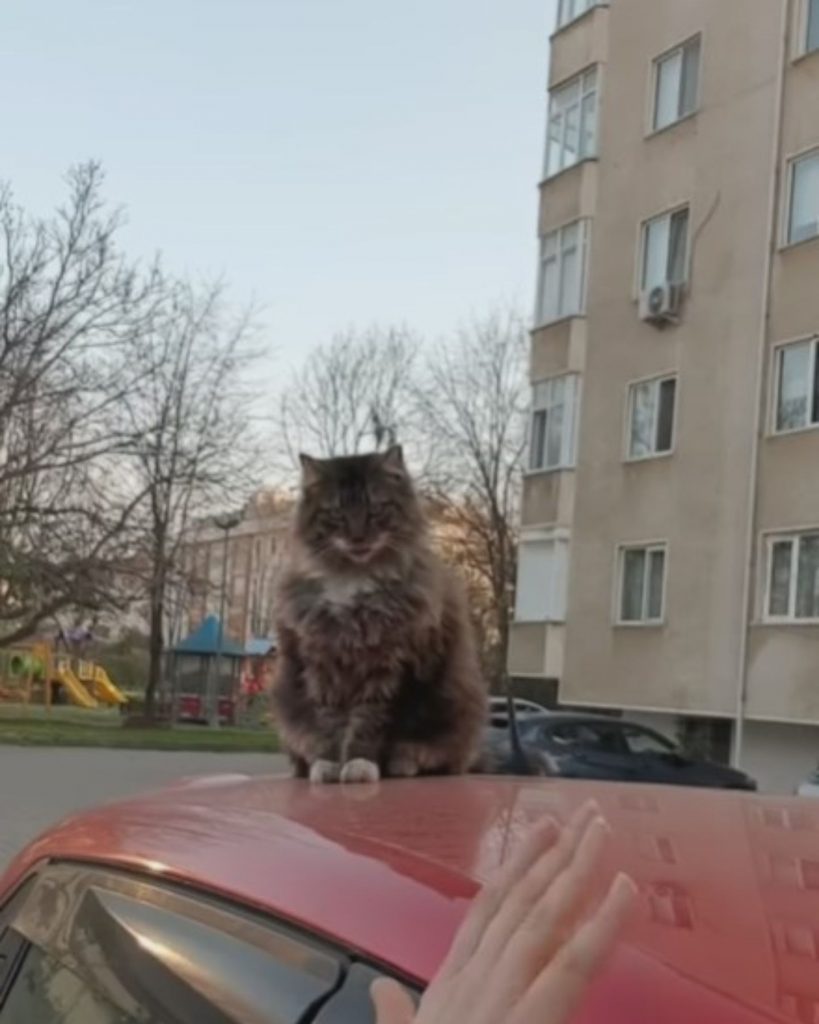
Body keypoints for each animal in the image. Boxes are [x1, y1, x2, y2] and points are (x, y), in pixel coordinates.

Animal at [272, 446, 487, 782]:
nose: (358, 537)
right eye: (337, 514)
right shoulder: (322, 669)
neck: (353, 581)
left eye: (376, 509)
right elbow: (330, 729)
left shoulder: (389, 670)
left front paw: (360, 765)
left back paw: (403, 764)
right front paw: (330, 764)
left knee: (435, 757)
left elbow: (368, 728)